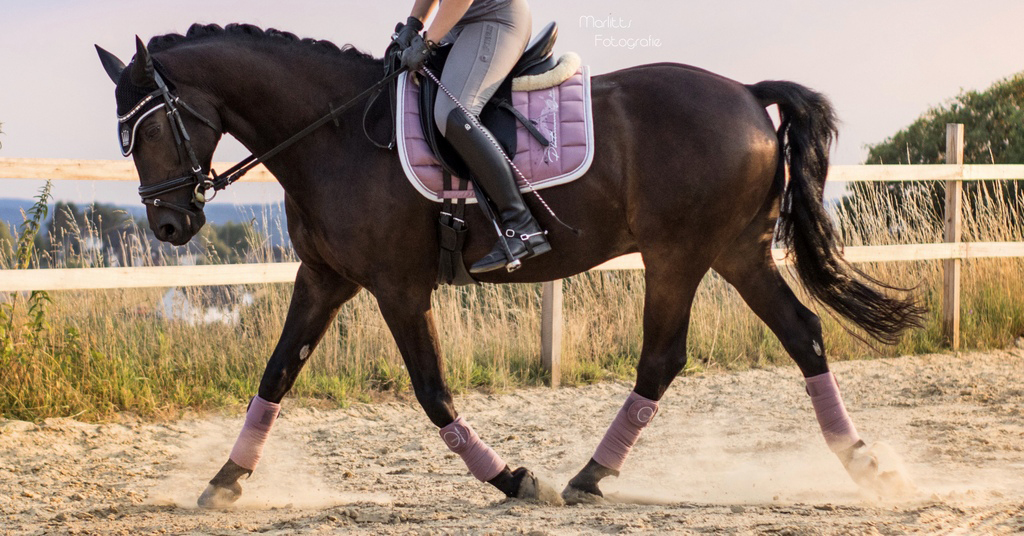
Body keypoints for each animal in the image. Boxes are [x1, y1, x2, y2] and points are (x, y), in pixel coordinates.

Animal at [96, 24, 925, 508]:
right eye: (126, 136)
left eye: (150, 129)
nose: (169, 225)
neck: (333, 134)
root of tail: (748, 95)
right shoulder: (324, 280)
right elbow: (274, 374)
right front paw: (224, 481)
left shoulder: (398, 288)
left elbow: (432, 393)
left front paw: (512, 477)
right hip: (736, 252)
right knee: (804, 333)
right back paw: (864, 465)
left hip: (680, 255)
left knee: (663, 358)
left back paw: (587, 477)